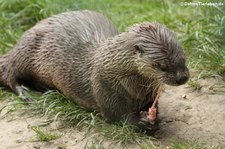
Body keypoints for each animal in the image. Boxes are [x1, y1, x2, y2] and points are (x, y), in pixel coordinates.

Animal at [0, 10, 189, 134]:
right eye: (162, 65)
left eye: (183, 57)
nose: (182, 78)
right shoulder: (104, 85)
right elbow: (117, 116)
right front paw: (141, 124)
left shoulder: (148, 92)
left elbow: (152, 104)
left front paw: (154, 117)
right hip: (26, 52)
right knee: (11, 73)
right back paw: (29, 93)